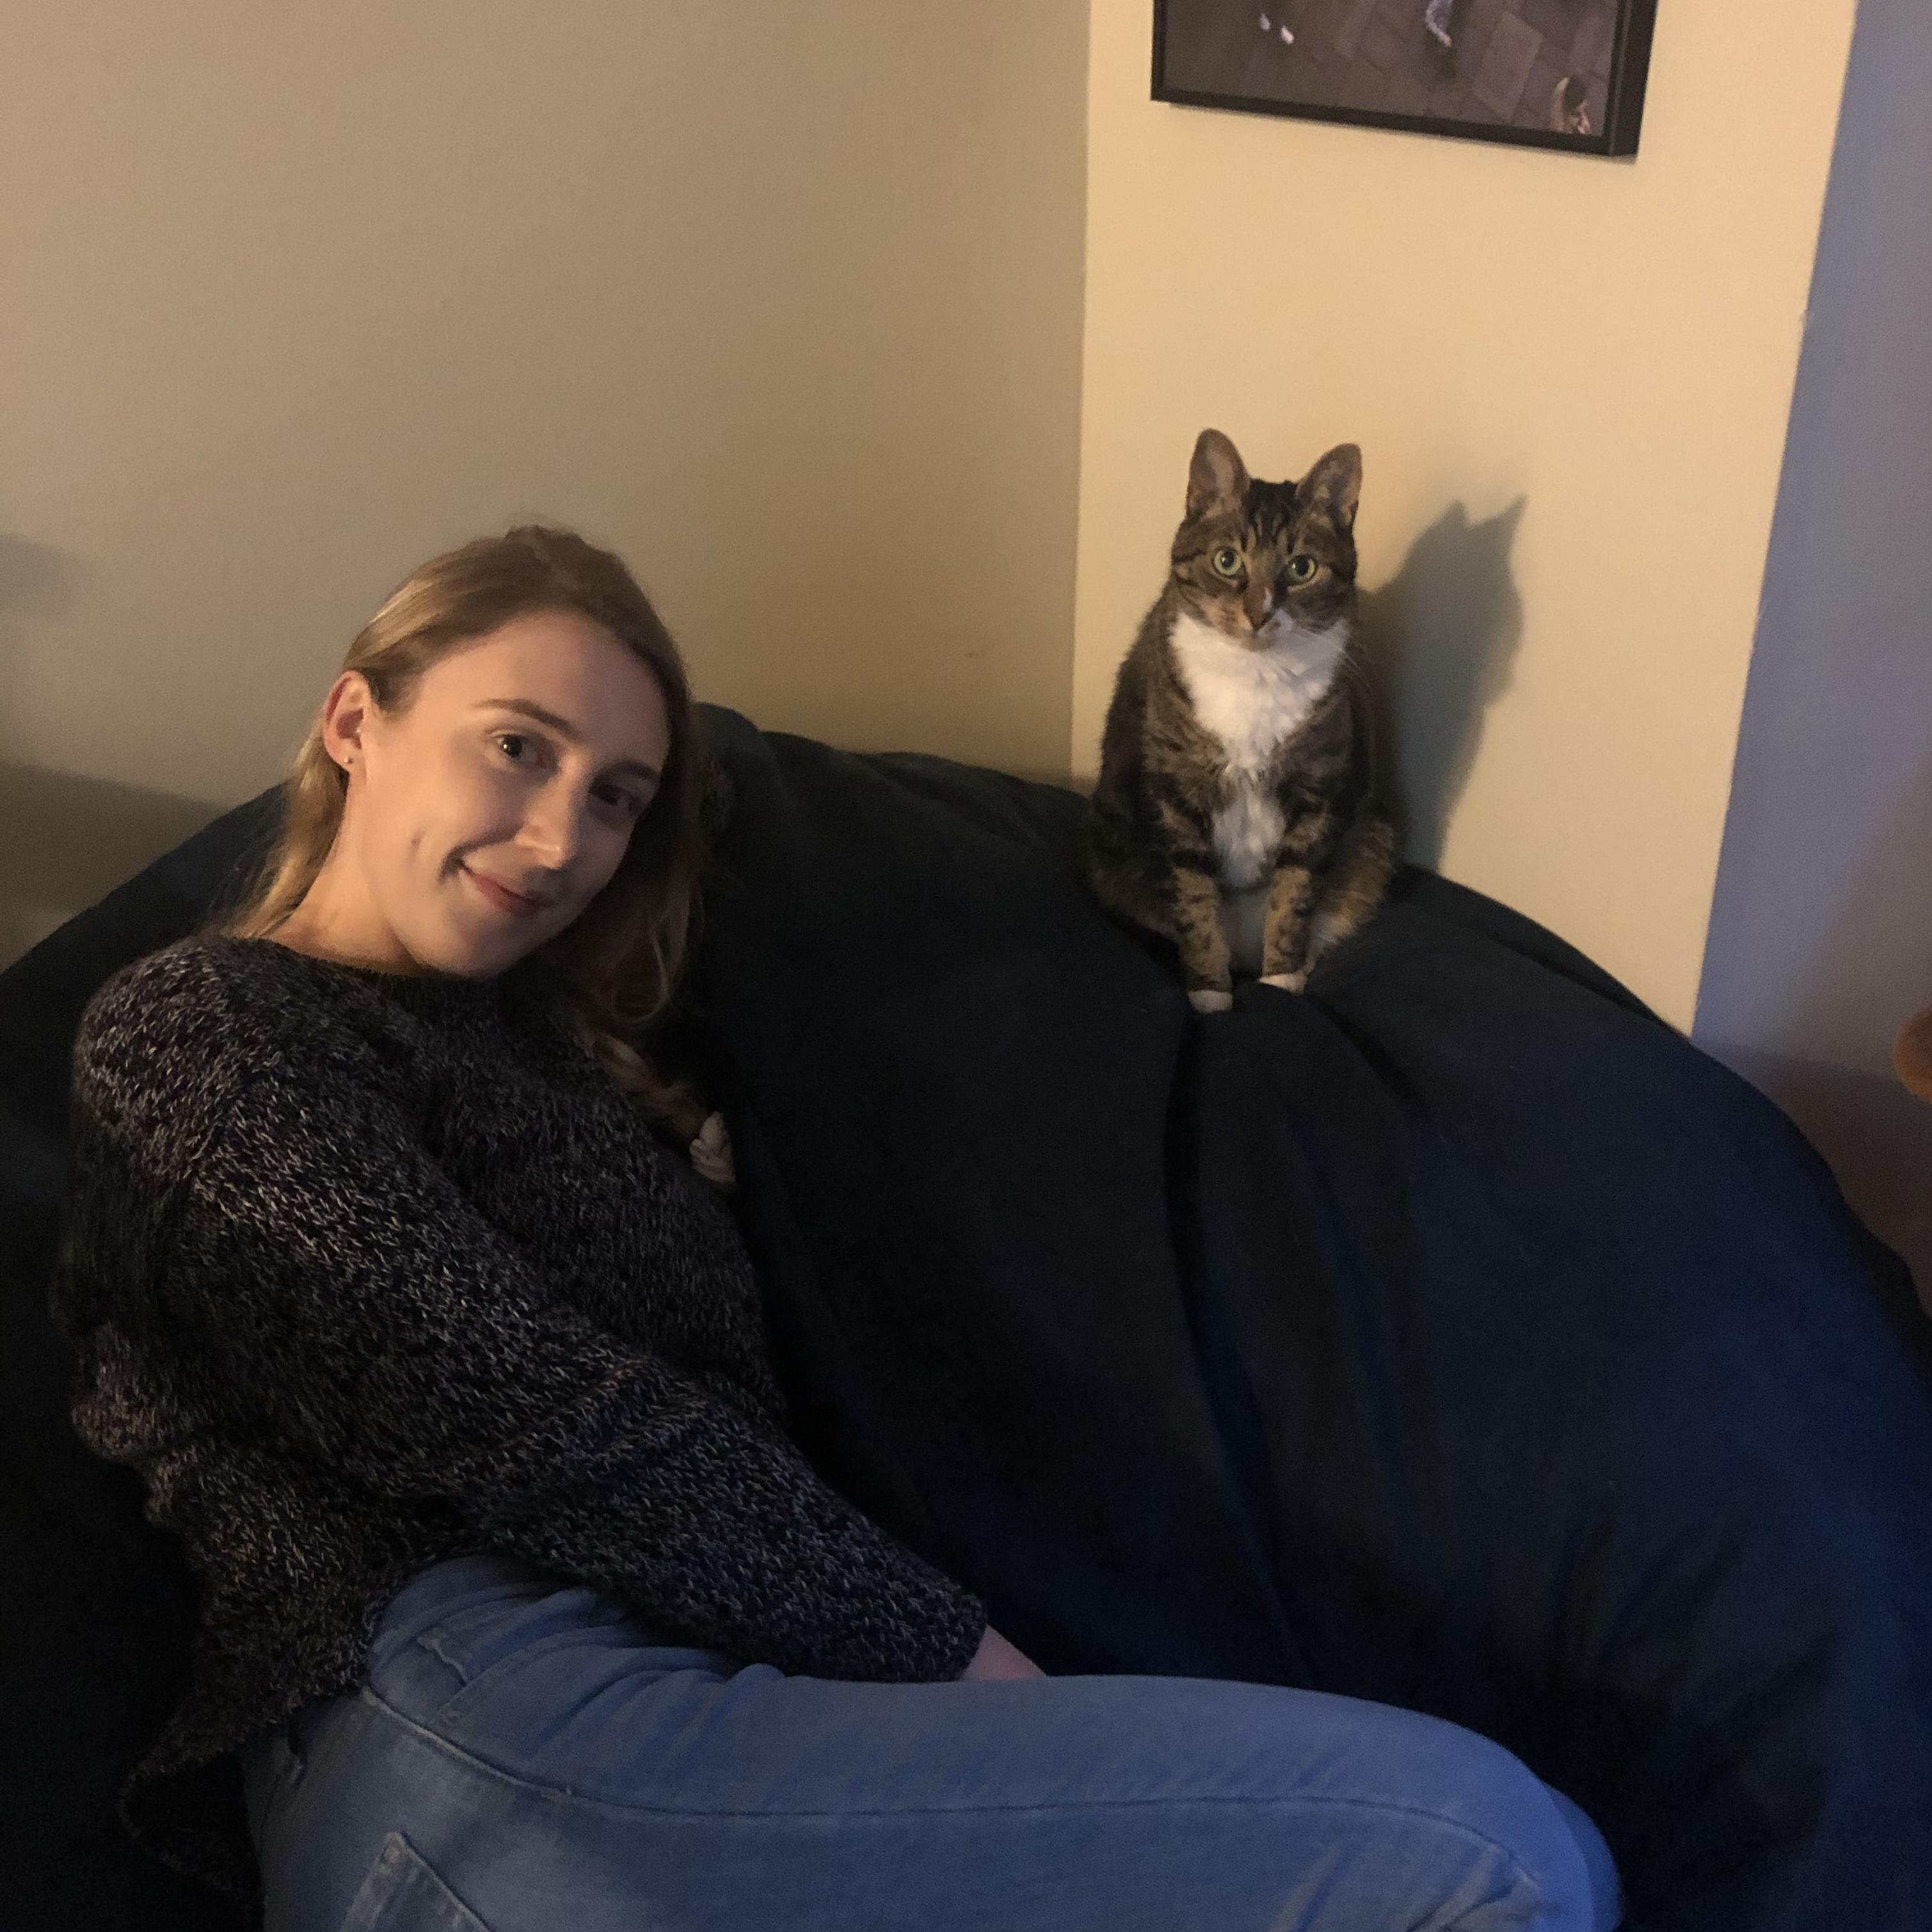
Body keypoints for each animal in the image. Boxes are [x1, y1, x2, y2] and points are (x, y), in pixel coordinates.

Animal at [1085, 428, 1394, 1012]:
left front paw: (1281, 981)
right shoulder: (1178, 793)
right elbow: (1193, 900)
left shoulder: (1317, 790)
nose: (1259, 613)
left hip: (1374, 845)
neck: (1256, 673)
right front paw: (1208, 992)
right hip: (1113, 856)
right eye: (1227, 561)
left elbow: (1294, 894)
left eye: (1301, 568)